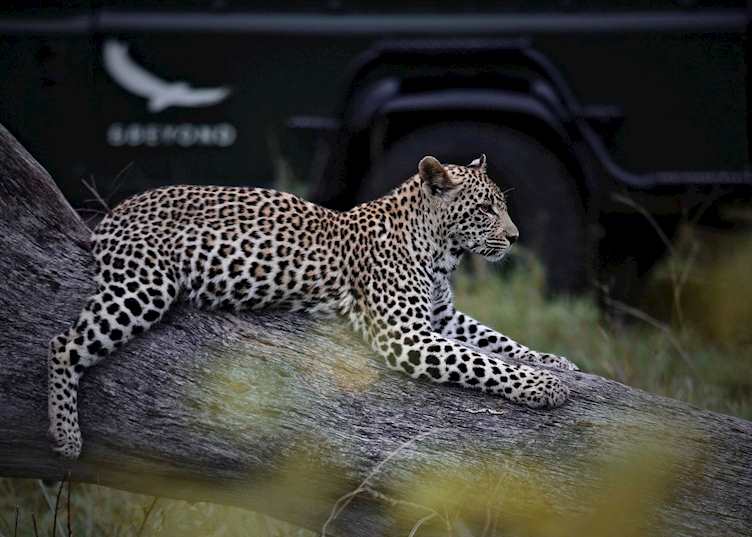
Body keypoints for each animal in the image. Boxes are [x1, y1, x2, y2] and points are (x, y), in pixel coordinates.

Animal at [47, 154, 578, 459]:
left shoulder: (441, 317)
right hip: (143, 288)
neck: (440, 253)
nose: (515, 237)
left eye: (500, 206)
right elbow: (482, 361)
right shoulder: (406, 334)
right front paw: (544, 386)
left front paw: (557, 362)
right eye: (485, 209)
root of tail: (114, 212)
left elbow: (497, 340)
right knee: (61, 344)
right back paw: (66, 437)